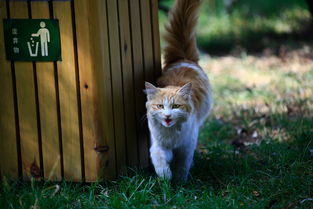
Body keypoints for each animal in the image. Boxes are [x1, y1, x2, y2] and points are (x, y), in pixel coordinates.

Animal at [144, 0, 212, 181]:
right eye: (160, 106)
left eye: (175, 106)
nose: (168, 116)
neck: (171, 134)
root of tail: (183, 58)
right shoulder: (158, 144)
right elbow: (159, 158)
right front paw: (166, 176)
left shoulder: (186, 146)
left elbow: (182, 165)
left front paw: (180, 181)